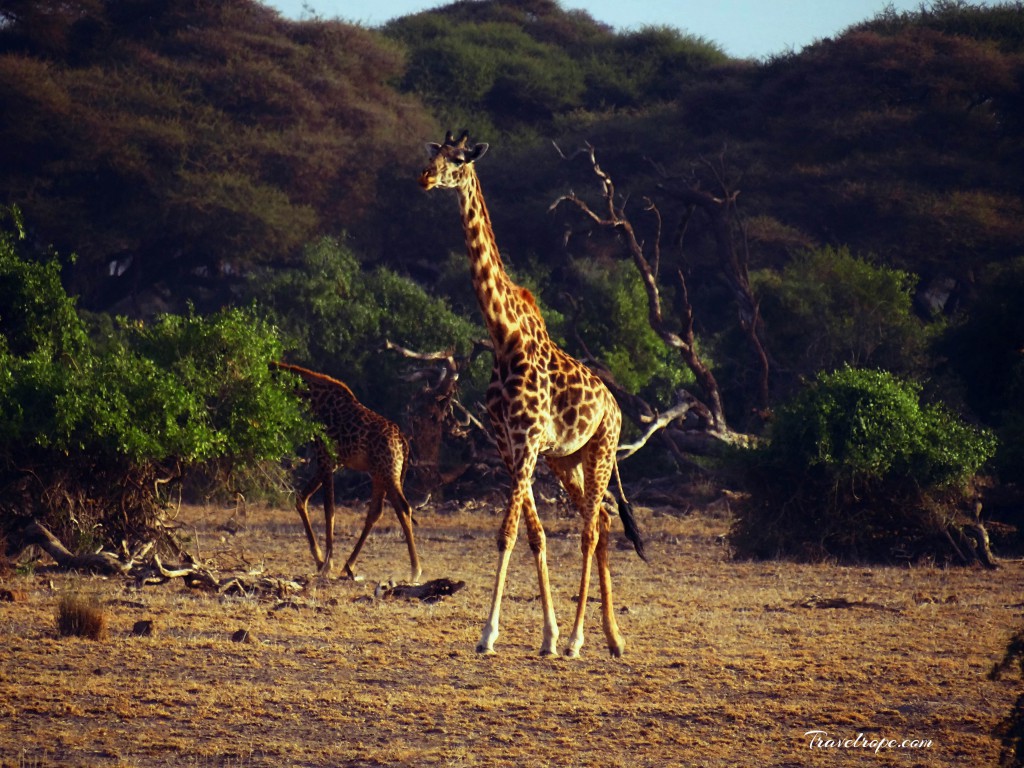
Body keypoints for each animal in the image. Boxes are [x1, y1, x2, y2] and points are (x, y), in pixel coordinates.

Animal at [270, 360, 421, 581]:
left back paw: (415, 571)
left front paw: (326, 564)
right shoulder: (331, 462)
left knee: (402, 507)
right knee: (376, 512)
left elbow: (329, 509)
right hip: (380, 473)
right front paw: (319, 560)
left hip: (388, 471)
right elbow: (301, 498)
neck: (314, 399)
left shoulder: (325, 457)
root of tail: (403, 441)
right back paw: (348, 565)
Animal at [413, 132, 638, 663]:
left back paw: (581, 640)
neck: (504, 335)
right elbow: (532, 535)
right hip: (567, 460)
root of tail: (617, 407)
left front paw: (490, 635)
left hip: (600, 450)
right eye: (431, 155)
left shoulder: (530, 441)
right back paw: (612, 639)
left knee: (591, 528)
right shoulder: (509, 446)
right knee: (601, 521)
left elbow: (507, 533)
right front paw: (546, 636)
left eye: (457, 160)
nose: (424, 177)